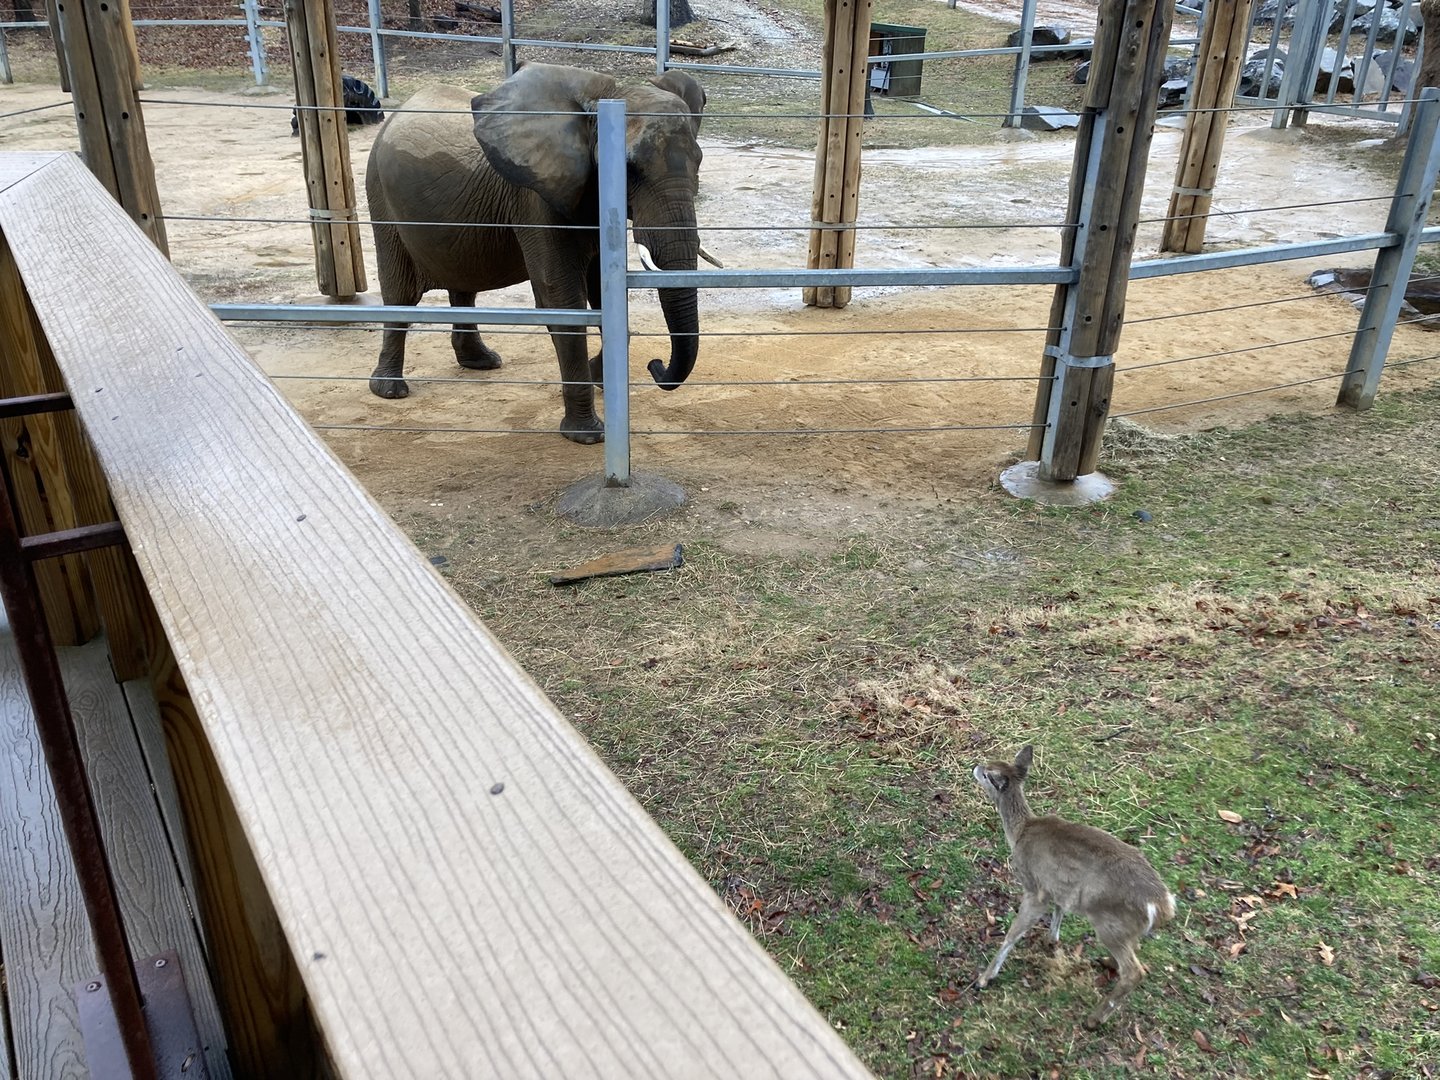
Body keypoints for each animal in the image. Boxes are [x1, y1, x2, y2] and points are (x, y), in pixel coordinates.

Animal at [364, 62, 708, 443]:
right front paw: (587, 435)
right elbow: (561, 299)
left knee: (462, 286)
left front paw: (599, 377)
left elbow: (601, 293)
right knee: (400, 291)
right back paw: (390, 390)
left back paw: (482, 362)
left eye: (699, 161)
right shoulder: (534, 200)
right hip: (380, 195)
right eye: (629, 170)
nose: (655, 366)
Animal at [972, 745, 1175, 1030]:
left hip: (1109, 922)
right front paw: (1051, 940)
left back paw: (1094, 1019)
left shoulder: (1034, 887)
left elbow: (1013, 933)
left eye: (988, 773)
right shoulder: (1058, 886)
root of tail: (1163, 904)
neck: (1020, 832)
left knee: (1135, 971)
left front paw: (984, 977)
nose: (975, 766)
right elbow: (1059, 909)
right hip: (1122, 928)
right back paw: (1106, 963)